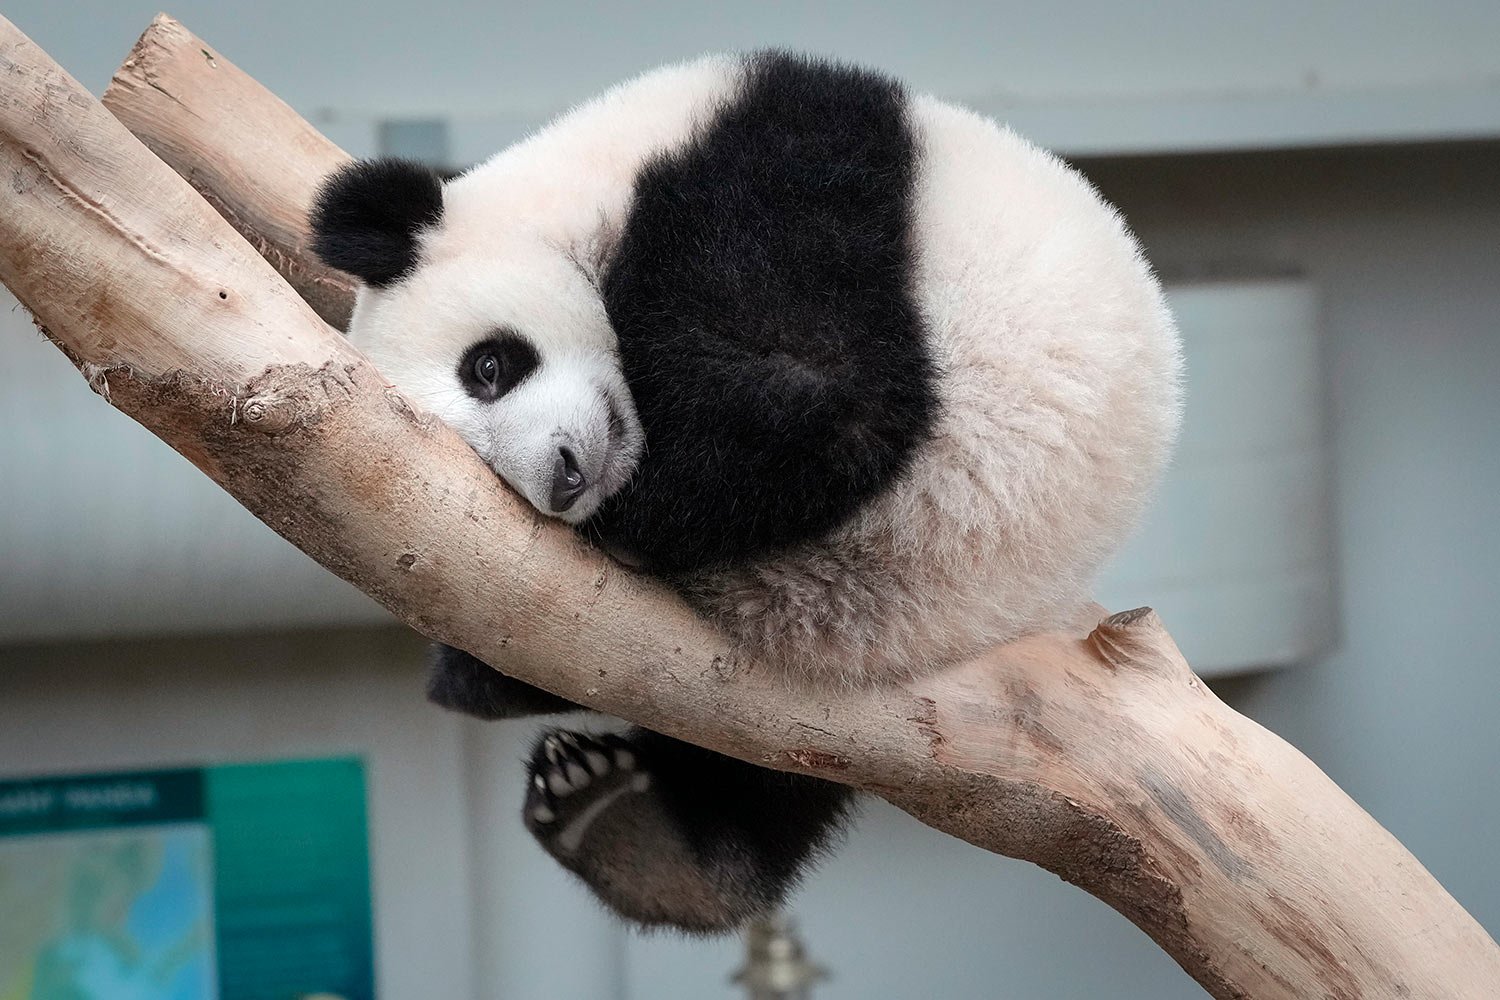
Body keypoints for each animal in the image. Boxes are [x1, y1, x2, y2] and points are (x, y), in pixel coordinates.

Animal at [307, 50, 1182, 935]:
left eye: (487, 367)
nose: (563, 480)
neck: (598, 177)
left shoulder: (781, 179)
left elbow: (827, 398)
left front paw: (642, 507)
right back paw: (635, 832)